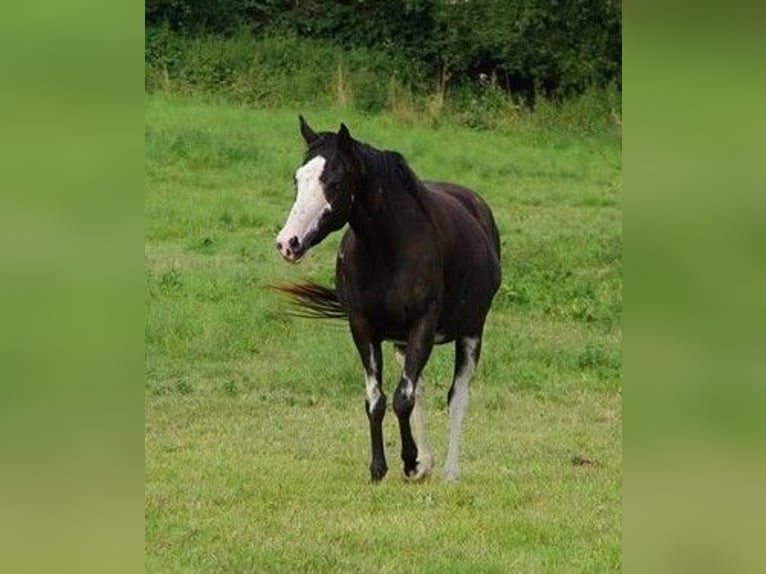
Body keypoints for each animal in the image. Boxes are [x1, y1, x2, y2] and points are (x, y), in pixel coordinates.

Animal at [272, 116, 500, 482]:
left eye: (333, 181)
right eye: (298, 178)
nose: (287, 243)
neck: (387, 249)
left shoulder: (423, 325)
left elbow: (403, 399)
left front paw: (408, 461)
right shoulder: (364, 329)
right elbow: (378, 400)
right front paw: (383, 467)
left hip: (471, 333)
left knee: (457, 397)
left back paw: (449, 471)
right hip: (403, 342)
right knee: (419, 391)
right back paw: (425, 464)